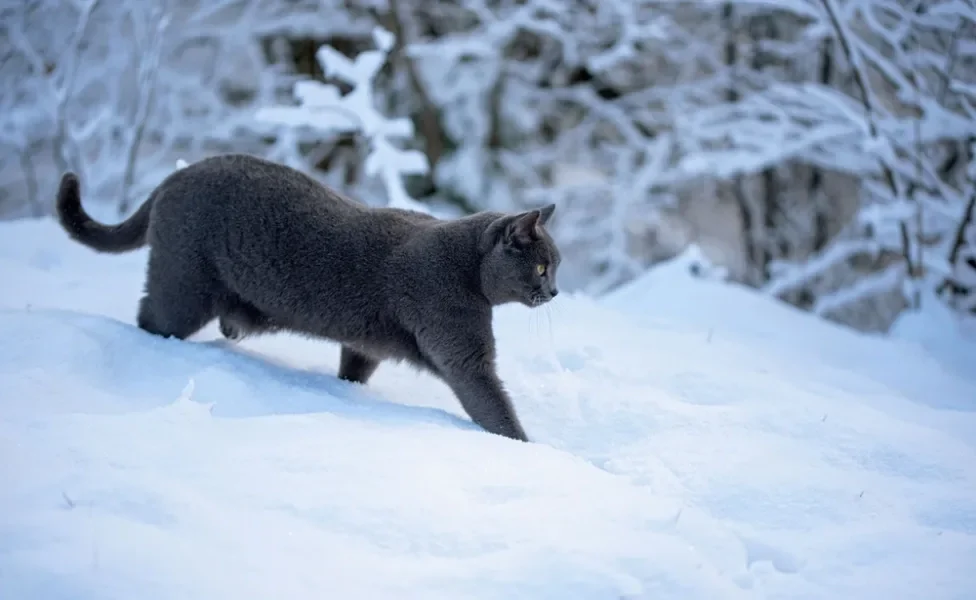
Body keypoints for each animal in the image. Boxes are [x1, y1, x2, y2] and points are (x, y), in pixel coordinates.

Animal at [57, 152, 560, 442]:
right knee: (151, 317)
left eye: (555, 266)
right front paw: (526, 448)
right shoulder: (461, 349)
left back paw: (234, 327)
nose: (554, 290)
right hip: (184, 283)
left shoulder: (366, 344)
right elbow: (493, 406)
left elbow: (355, 367)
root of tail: (175, 177)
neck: (467, 269)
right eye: (540, 267)